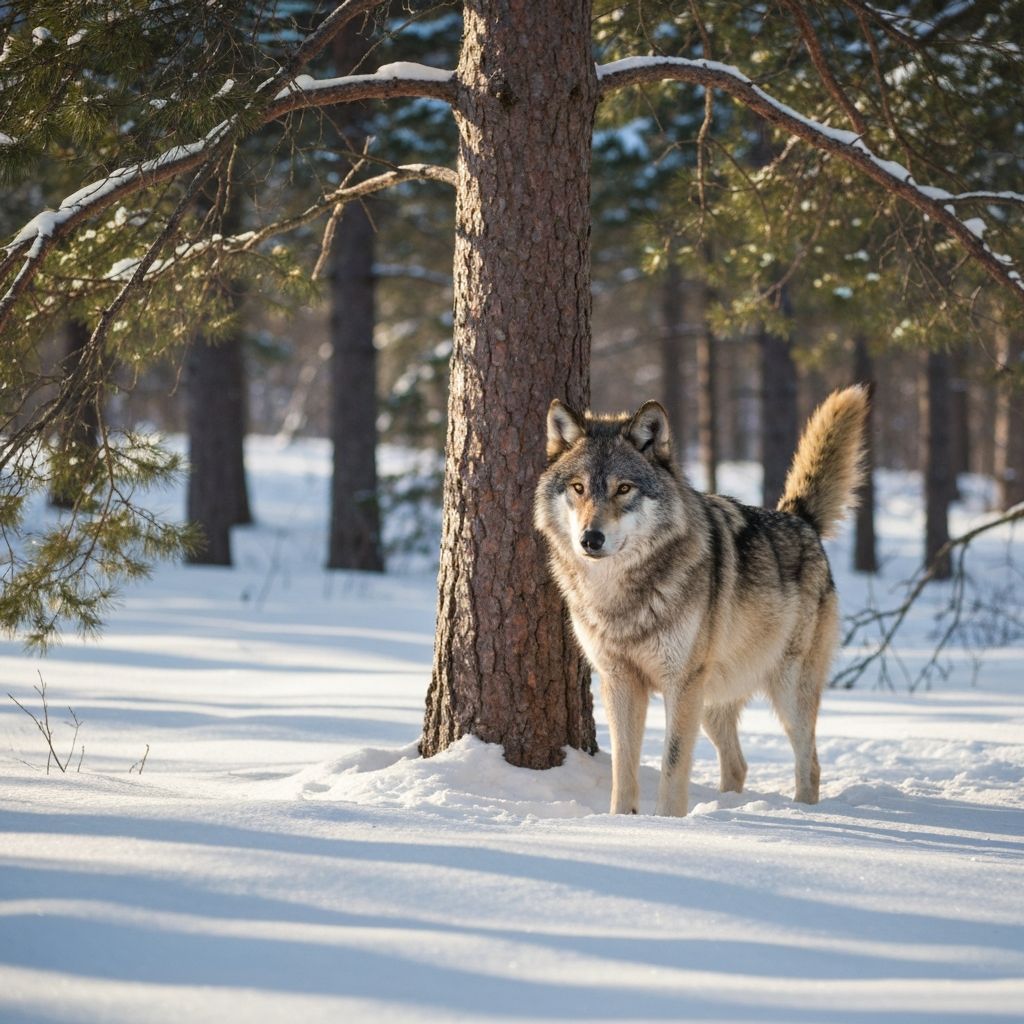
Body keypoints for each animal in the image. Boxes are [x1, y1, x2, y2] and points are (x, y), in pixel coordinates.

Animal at [534, 386, 868, 816]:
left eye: (624, 488)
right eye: (578, 488)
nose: (590, 539)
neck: (620, 595)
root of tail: (800, 519)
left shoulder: (681, 684)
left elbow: (673, 762)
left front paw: (668, 822)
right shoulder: (619, 680)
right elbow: (624, 765)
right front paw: (621, 820)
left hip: (785, 692)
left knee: (809, 764)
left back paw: (800, 813)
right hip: (711, 700)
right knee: (738, 764)